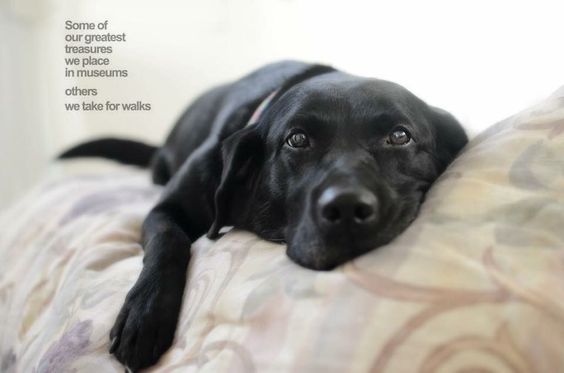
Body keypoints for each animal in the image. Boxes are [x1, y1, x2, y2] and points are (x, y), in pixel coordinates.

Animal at [60, 60, 468, 370]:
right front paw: (144, 316)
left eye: (400, 136)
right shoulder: (164, 209)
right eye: (297, 139)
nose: (348, 208)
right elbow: (170, 241)